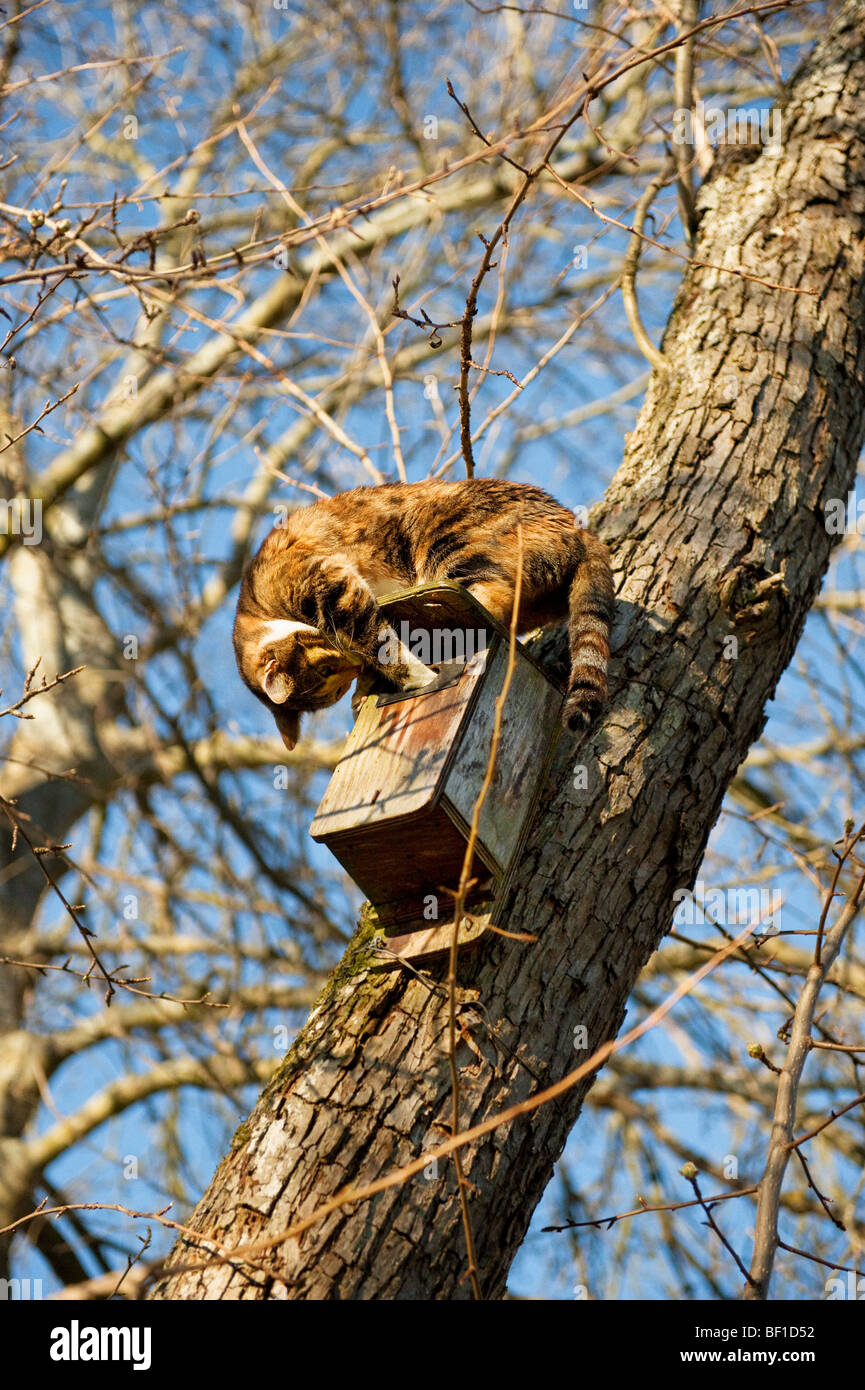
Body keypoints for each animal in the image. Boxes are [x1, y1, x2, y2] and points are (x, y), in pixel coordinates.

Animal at [235, 483, 617, 756]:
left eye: (328, 670)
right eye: (334, 683)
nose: (352, 667)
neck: (256, 607)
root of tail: (582, 531)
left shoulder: (329, 585)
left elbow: (380, 643)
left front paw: (421, 679)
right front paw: (365, 690)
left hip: (447, 540)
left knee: (490, 595)